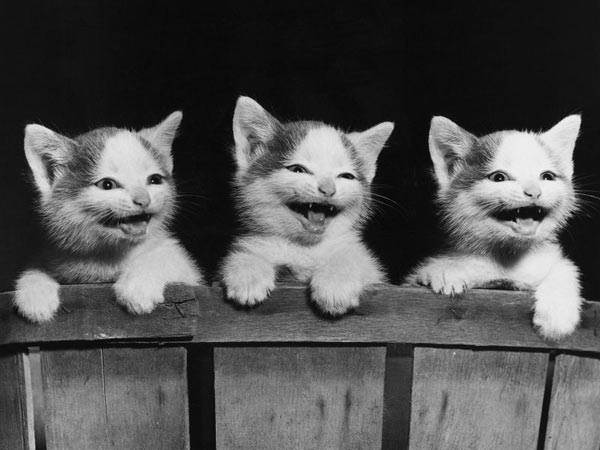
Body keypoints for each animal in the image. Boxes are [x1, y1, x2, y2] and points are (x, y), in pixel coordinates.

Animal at [13, 113, 202, 324]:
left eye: (155, 180)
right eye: (107, 184)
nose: (143, 200)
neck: (108, 254)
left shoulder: (183, 267)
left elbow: (166, 258)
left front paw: (139, 285)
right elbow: (37, 268)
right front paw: (35, 292)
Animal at [220, 96, 394, 314]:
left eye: (346, 176)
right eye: (298, 169)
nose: (328, 189)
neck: (304, 247)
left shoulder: (368, 265)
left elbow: (353, 259)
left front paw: (335, 284)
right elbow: (246, 253)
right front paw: (248, 272)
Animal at [408, 114, 580, 340]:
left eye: (547, 176)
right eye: (499, 177)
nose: (534, 191)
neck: (506, 257)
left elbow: (564, 267)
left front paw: (557, 314)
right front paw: (443, 271)